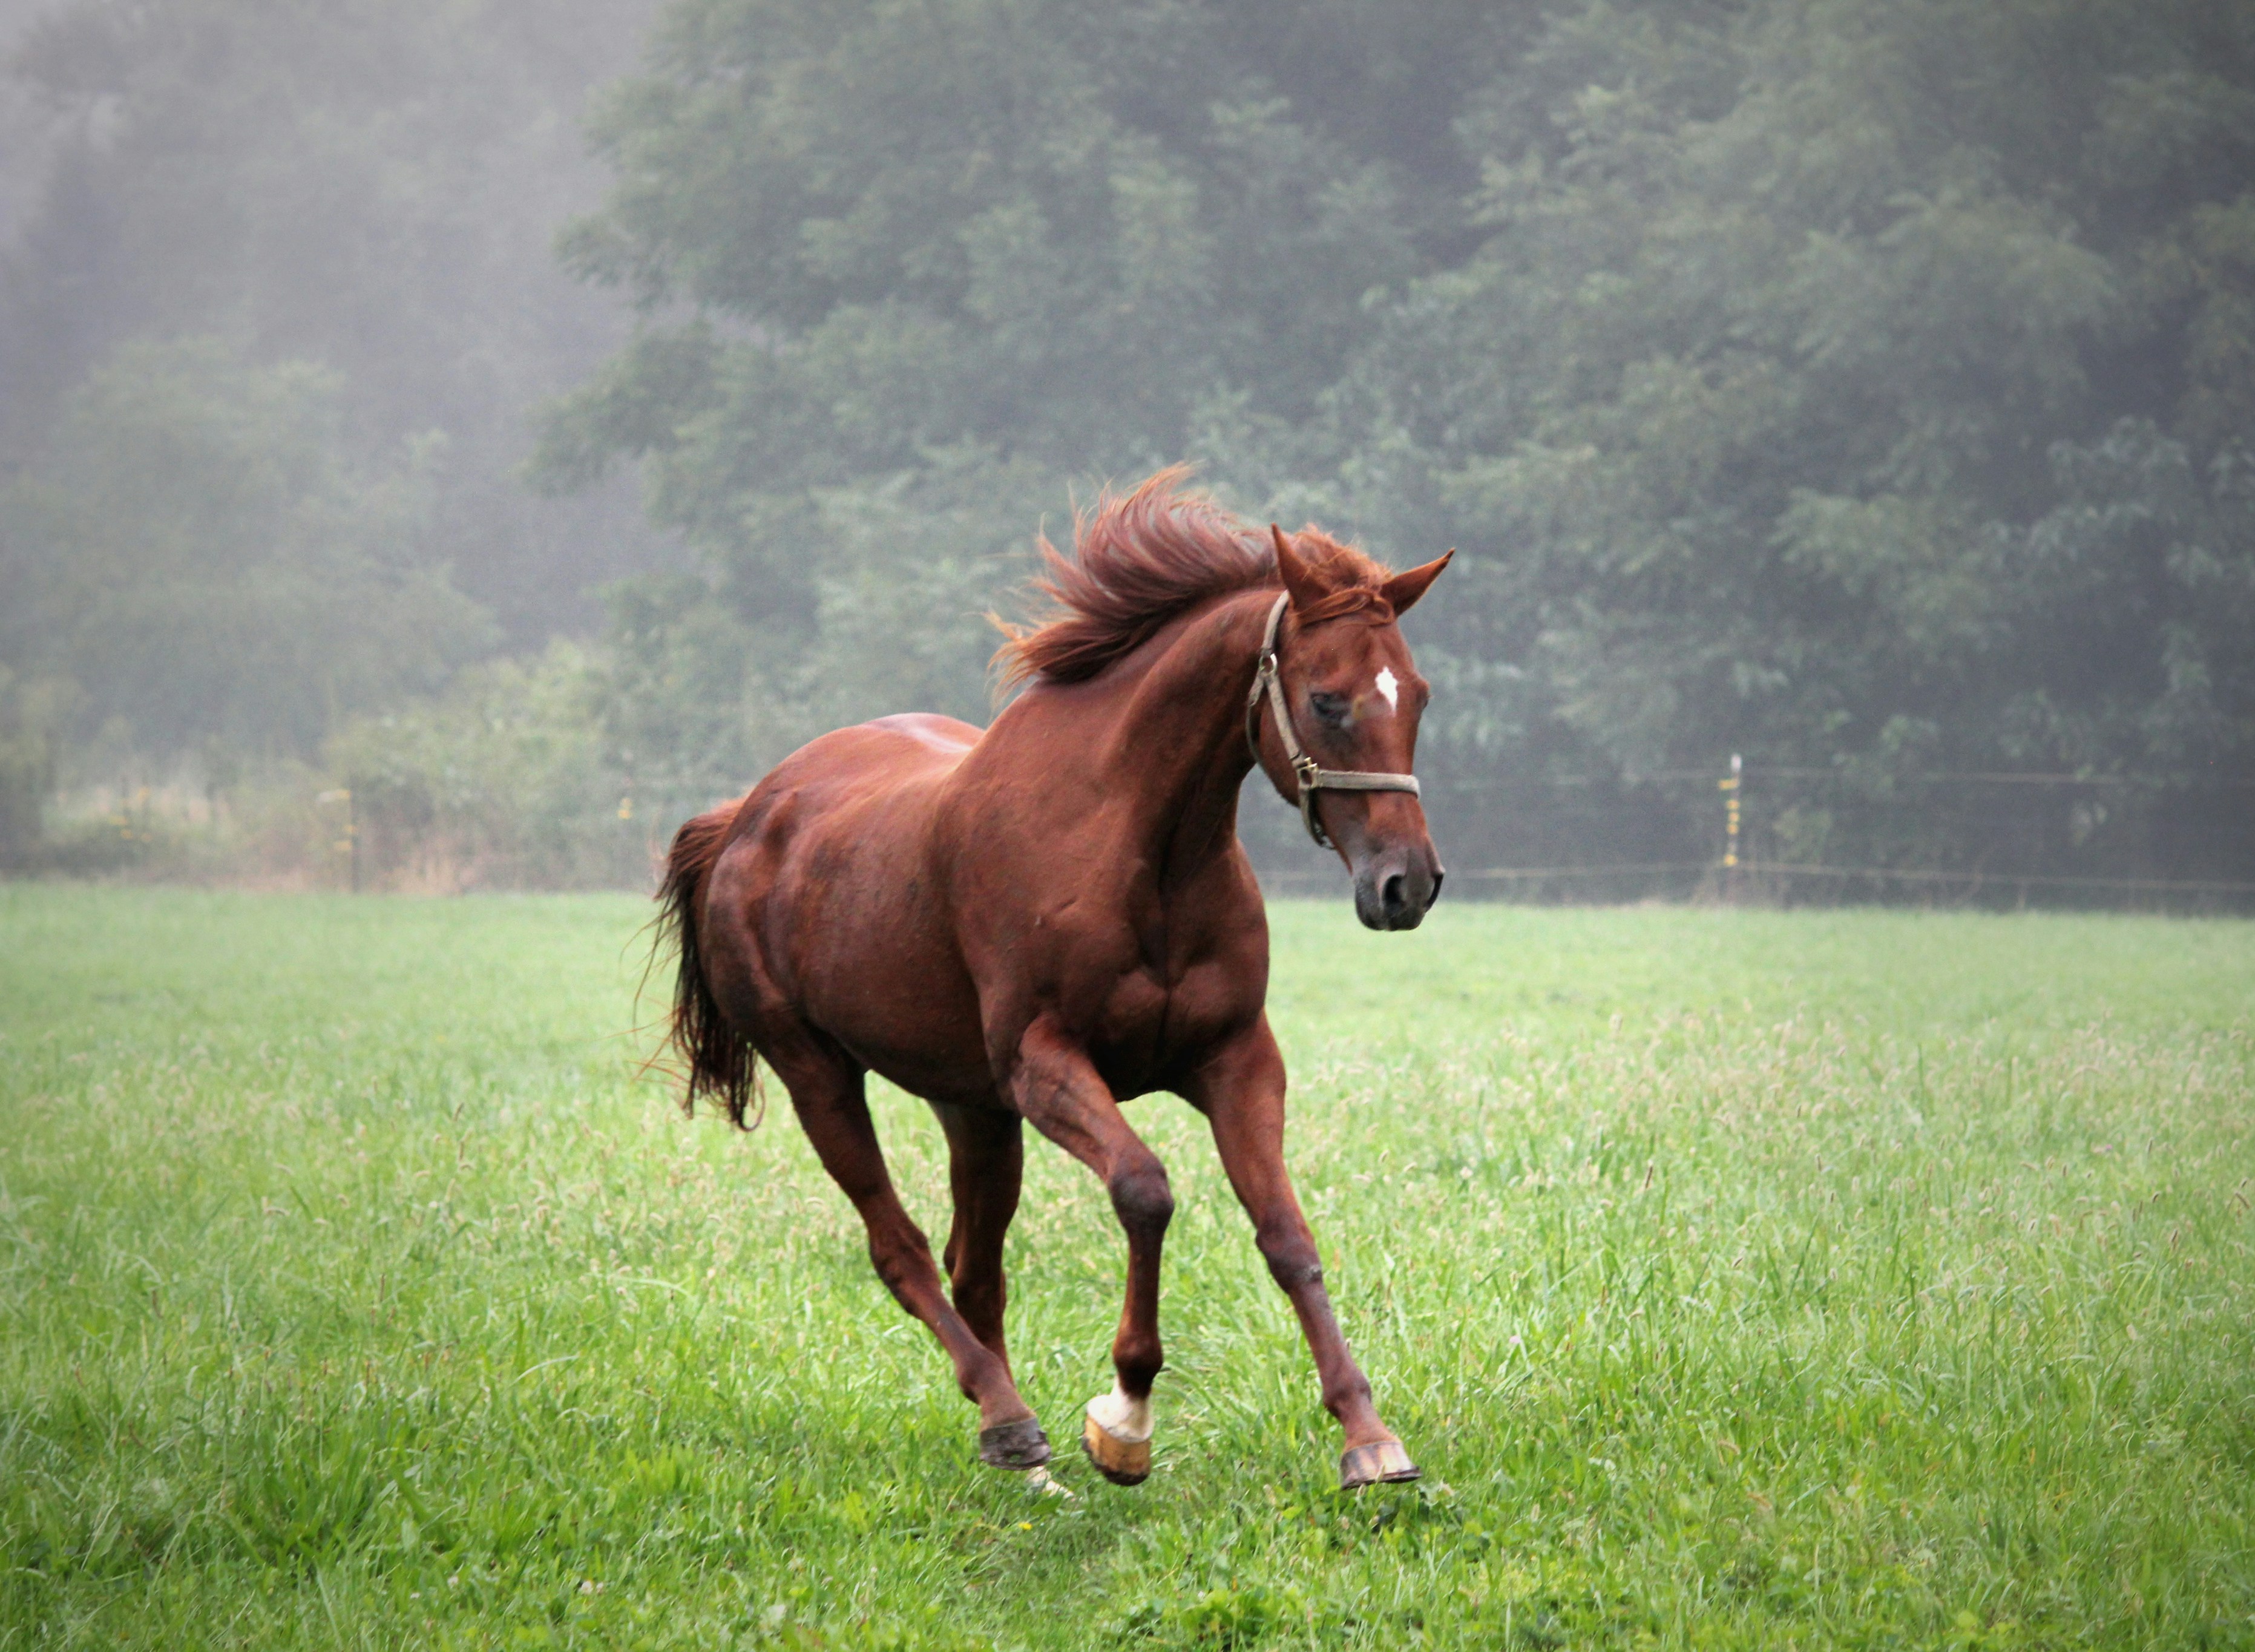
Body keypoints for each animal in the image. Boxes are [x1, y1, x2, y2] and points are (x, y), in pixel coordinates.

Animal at [654, 469, 1450, 1490]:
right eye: (1327, 700)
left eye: (1415, 695)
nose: (1406, 884)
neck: (1138, 847)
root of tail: (746, 816)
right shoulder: (1045, 1067)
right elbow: (1145, 1191)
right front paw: (1124, 1417)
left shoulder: (1235, 1059)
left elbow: (1286, 1235)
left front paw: (1366, 1435)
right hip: (817, 1076)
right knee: (902, 1251)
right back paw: (1010, 1420)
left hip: (973, 1109)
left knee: (973, 1267)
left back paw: (1019, 1455)